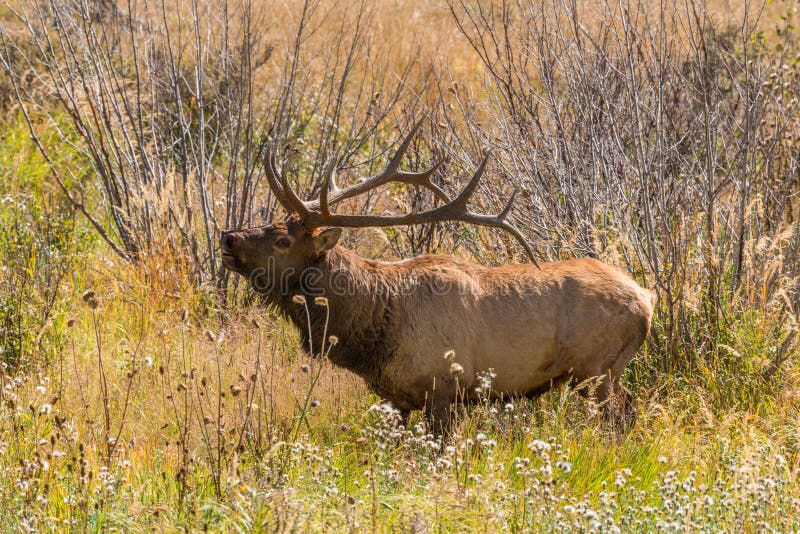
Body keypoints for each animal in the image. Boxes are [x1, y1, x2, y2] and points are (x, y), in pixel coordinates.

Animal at [220, 122, 655, 434]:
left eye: (282, 240)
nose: (228, 237)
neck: (374, 326)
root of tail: (647, 299)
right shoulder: (395, 398)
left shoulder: (444, 389)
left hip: (598, 368)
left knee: (623, 414)